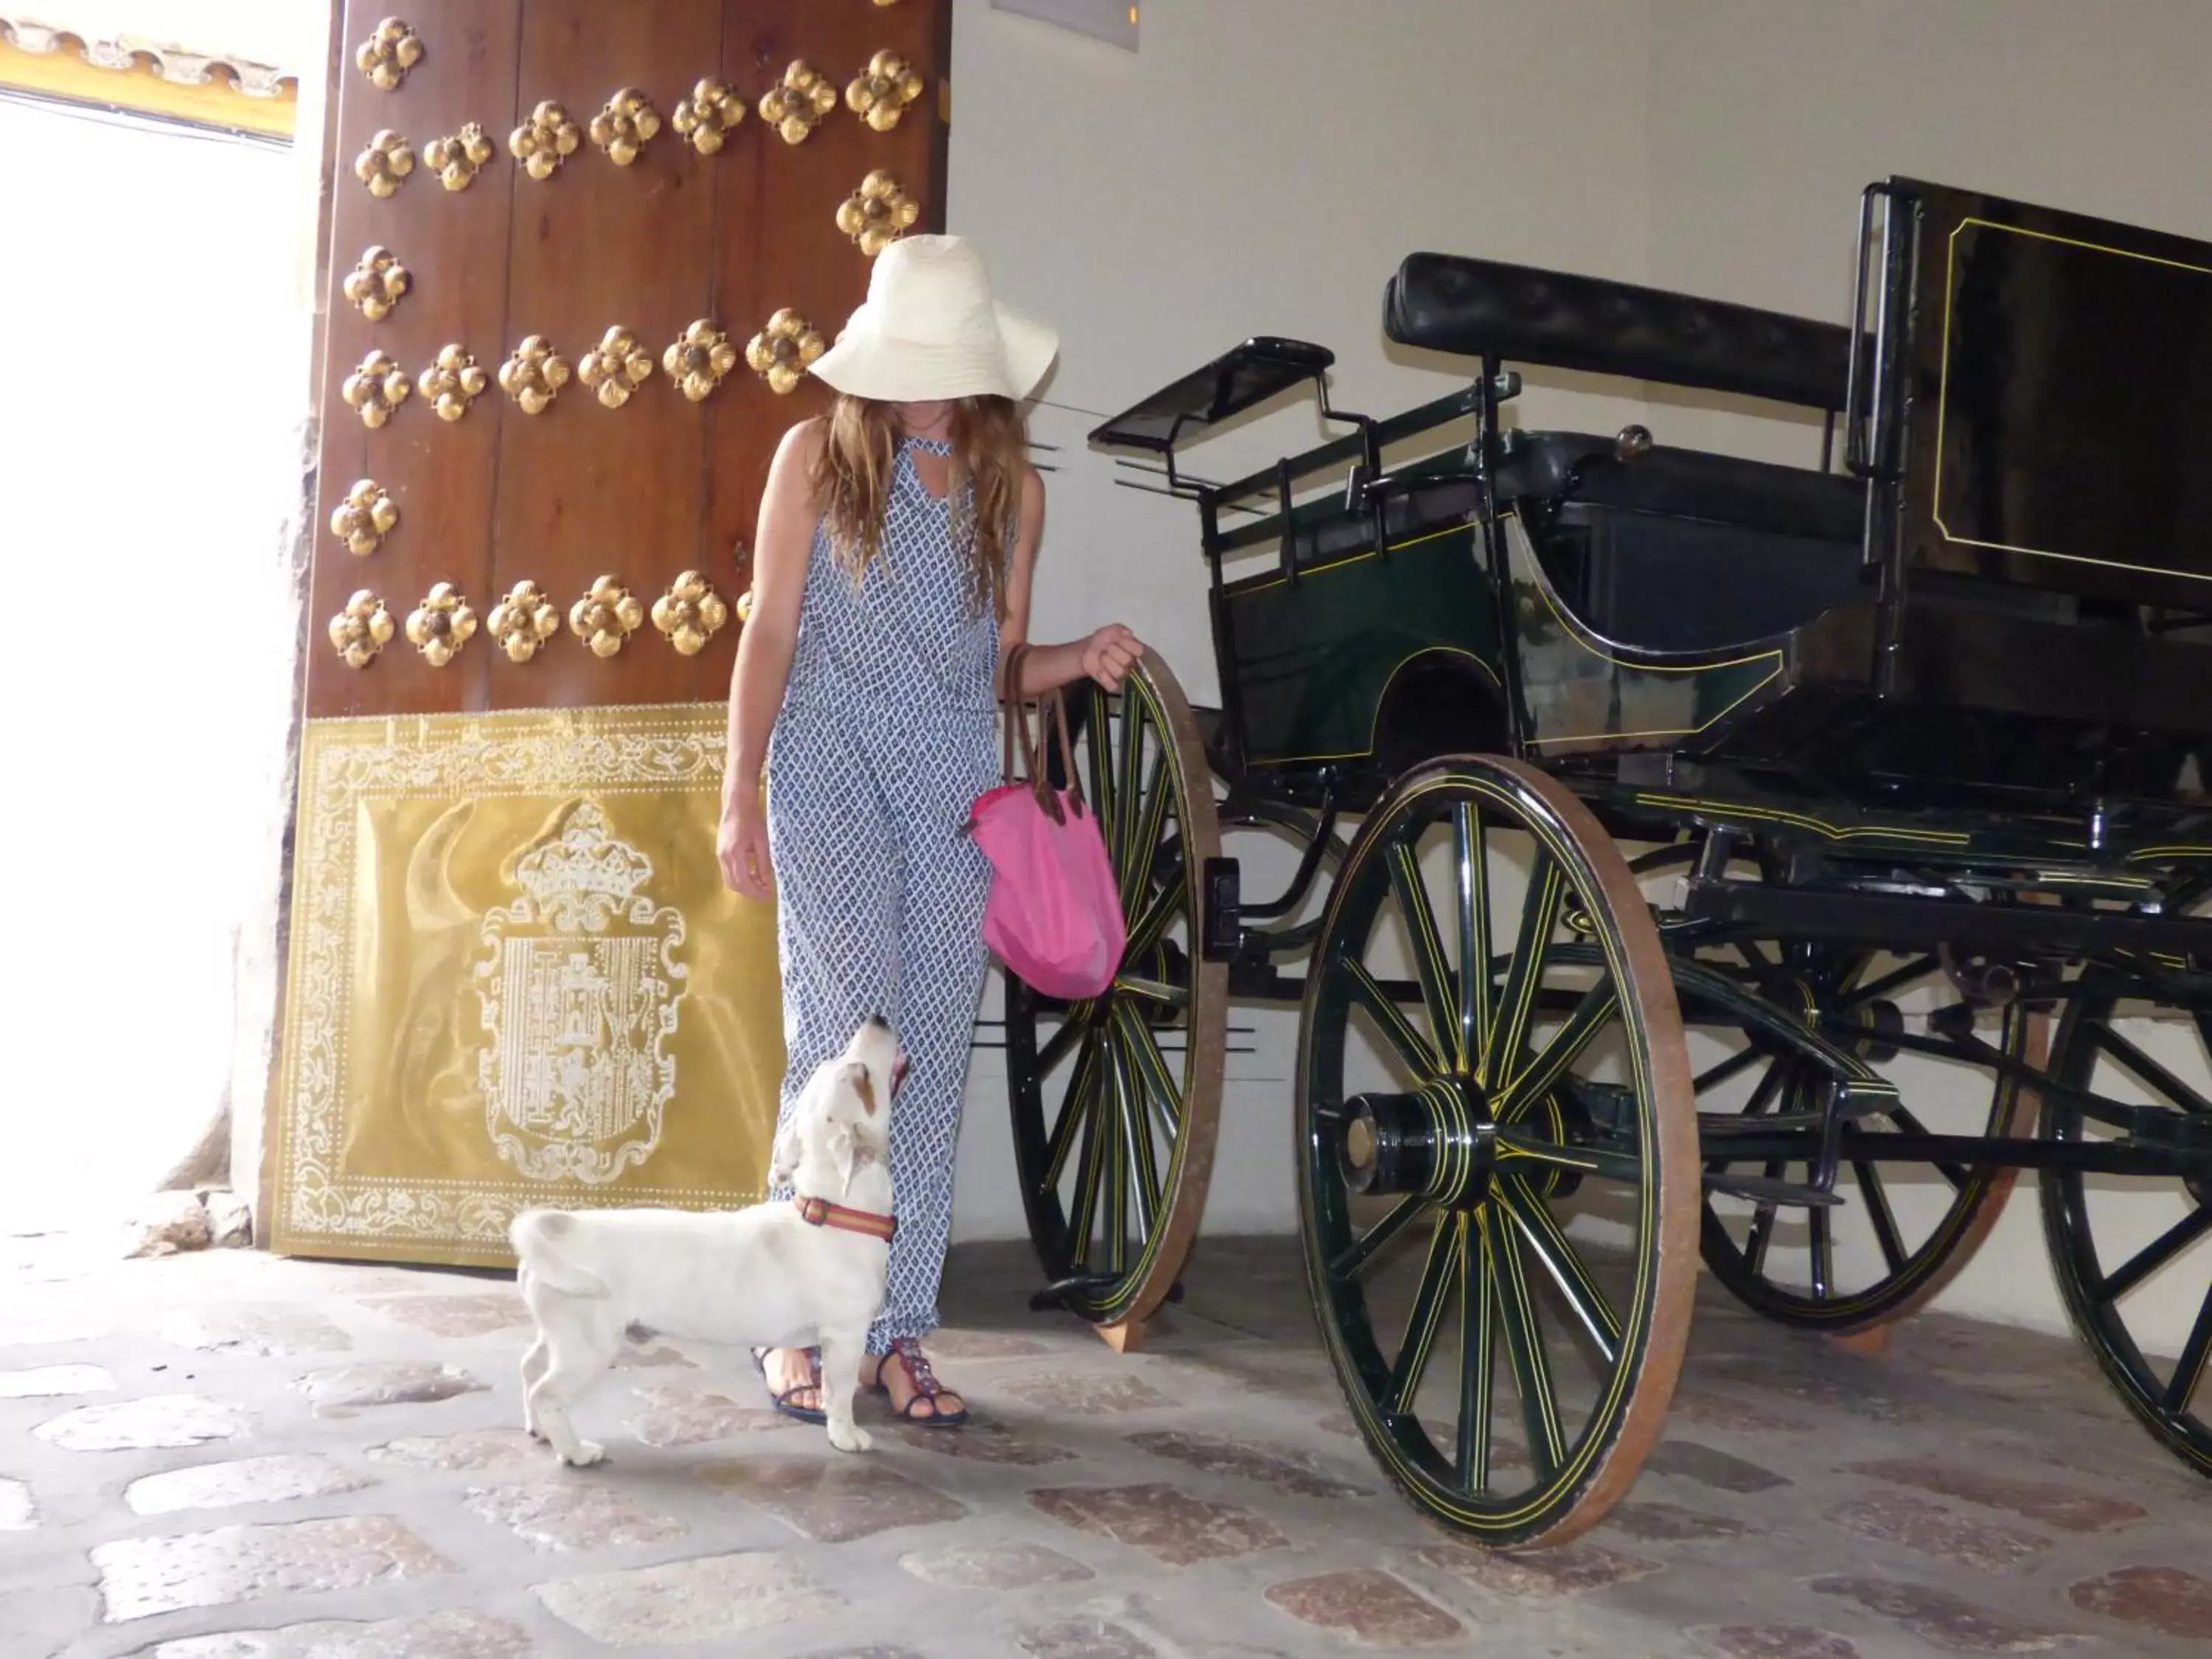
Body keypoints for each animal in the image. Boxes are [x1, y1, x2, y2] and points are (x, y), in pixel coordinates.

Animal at [513, 1013, 902, 1469]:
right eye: (862, 1078)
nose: (878, 1018)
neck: (833, 1212)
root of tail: (562, 1226)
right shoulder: (845, 1336)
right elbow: (839, 1395)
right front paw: (847, 1437)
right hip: (587, 1347)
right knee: (547, 1392)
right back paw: (575, 1451)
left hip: (559, 1333)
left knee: (529, 1369)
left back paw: (539, 1430)